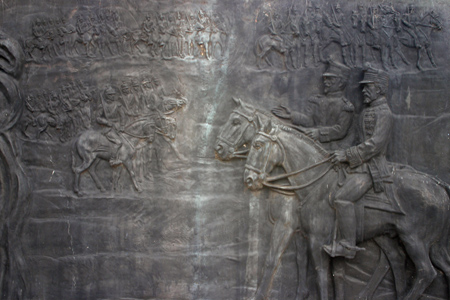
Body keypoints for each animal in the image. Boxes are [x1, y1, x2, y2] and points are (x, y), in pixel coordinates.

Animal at [214, 97, 408, 298]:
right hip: (381, 230)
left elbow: (273, 259)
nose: (219, 148)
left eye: (236, 122)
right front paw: (302, 293)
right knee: (394, 257)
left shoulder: (287, 224)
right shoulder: (302, 231)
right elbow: (301, 260)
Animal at [244, 118, 450, 298]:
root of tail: (438, 186)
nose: (249, 179)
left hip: (415, 239)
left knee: (426, 272)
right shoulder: (305, 234)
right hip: (409, 239)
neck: (317, 182)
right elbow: (322, 270)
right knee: (408, 261)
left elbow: (318, 274)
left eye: (258, 145)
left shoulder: (312, 237)